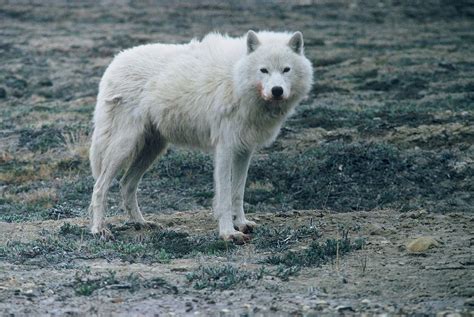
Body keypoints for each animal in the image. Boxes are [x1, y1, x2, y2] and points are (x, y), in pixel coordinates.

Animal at [89, 30, 314, 242]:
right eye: (264, 70)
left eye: (286, 69)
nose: (277, 90)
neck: (236, 77)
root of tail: (115, 61)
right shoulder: (225, 148)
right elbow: (224, 196)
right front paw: (228, 233)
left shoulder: (244, 150)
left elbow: (238, 192)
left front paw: (241, 224)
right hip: (124, 147)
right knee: (99, 187)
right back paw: (99, 230)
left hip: (152, 149)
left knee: (126, 184)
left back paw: (141, 223)